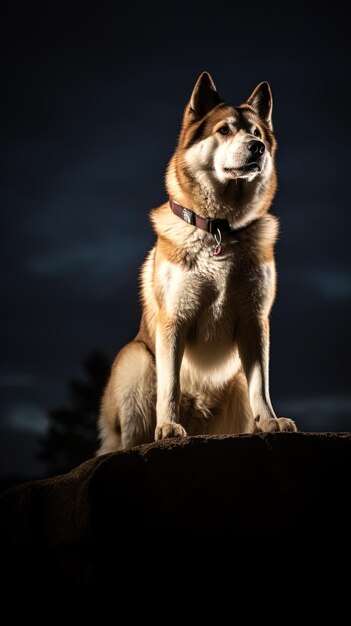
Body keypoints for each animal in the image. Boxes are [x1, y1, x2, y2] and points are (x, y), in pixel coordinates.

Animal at [97, 72, 298, 454]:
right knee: (130, 435)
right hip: (134, 361)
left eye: (257, 132)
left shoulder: (254, 321)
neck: (219, 229)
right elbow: (171, 386)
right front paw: (168, 427)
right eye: (224, 130)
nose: (257, 147)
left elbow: (261, 385)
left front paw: (270, 421)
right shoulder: (174, 320)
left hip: (233, 384)